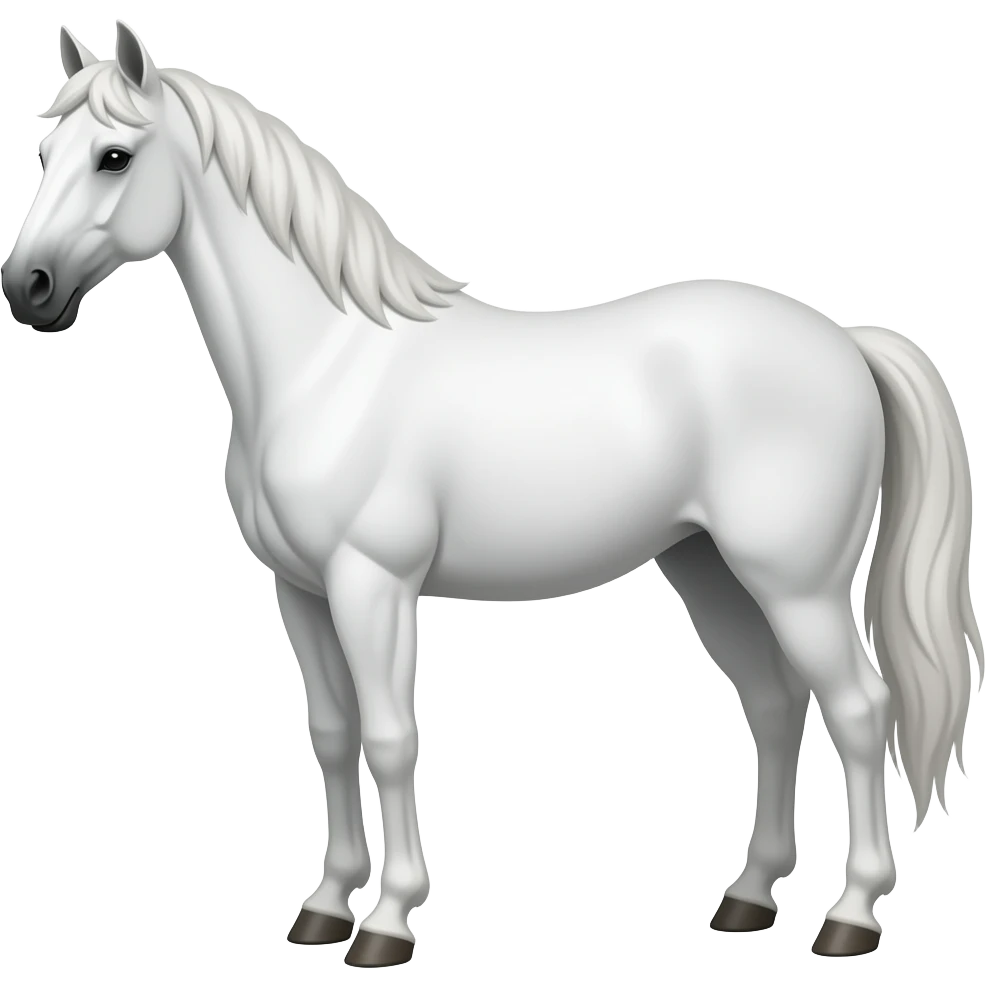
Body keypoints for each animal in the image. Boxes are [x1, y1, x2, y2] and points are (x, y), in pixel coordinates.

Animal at [3, 19, 981, 966]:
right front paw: (323, 909)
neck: (328, 365)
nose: (28, 288)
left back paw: (850, 917)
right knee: (775, 708)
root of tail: (844, 340)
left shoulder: (373, 585)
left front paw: (389, 923)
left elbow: (391, 738)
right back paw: (747, 899)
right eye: (44, 152)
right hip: (710, 569)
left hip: (796, 584)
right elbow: (333, 736)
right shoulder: (302, 591)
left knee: (859, 711)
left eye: (115, 157)